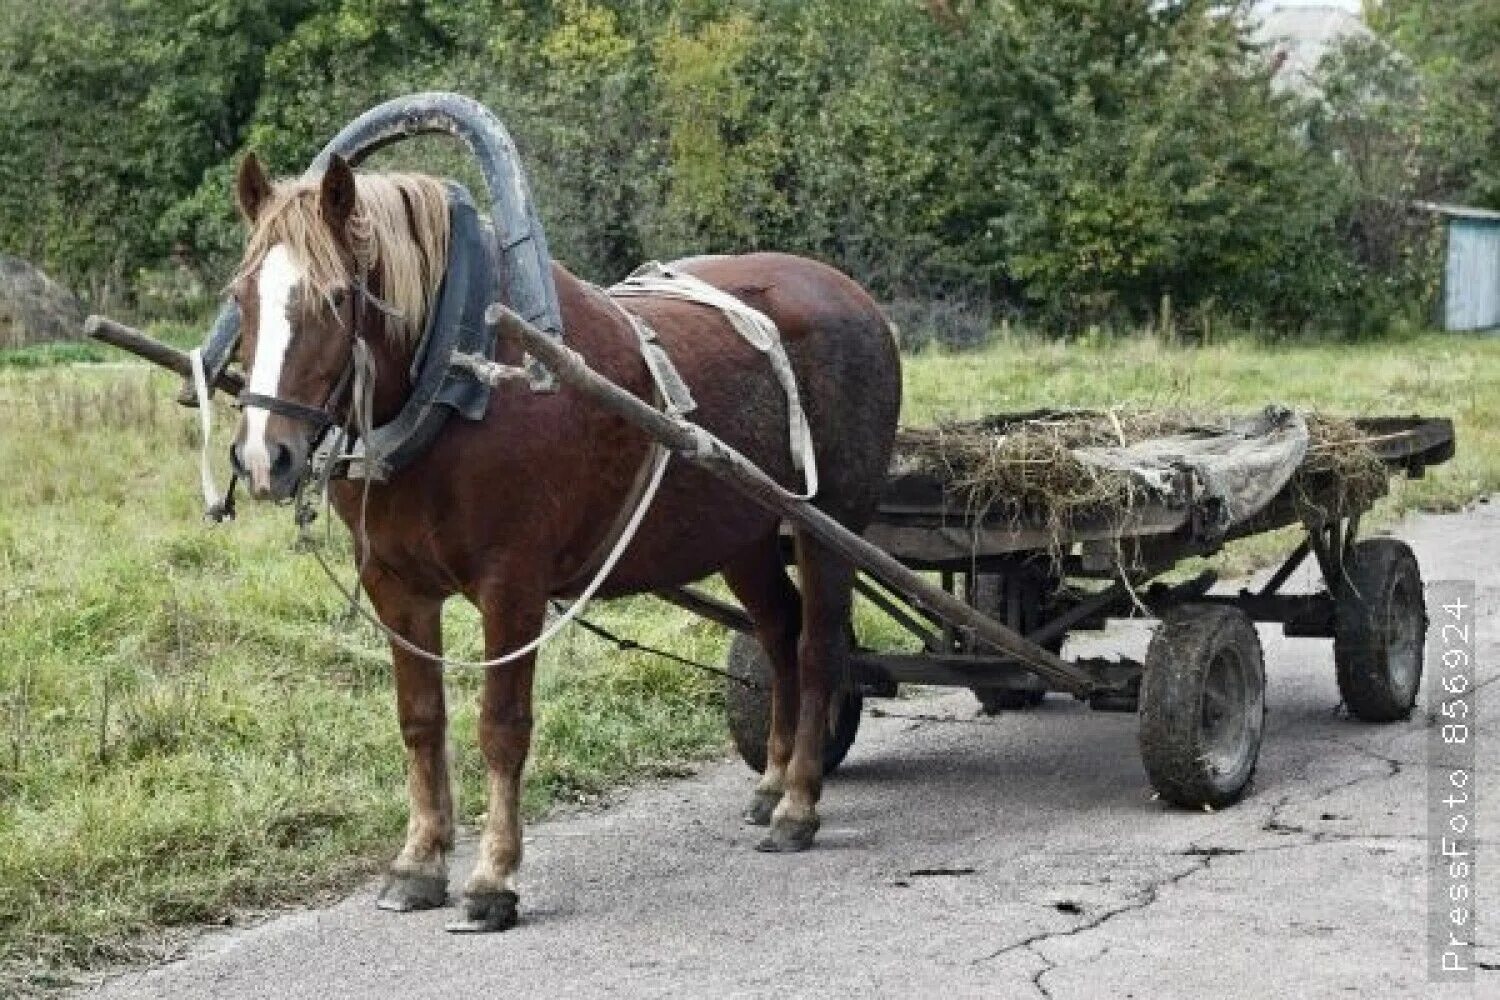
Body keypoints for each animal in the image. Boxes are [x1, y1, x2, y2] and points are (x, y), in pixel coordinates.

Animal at [225, 154, 900, 929]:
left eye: (336, 297)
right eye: (241, 296)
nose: (263, 457)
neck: (462, 378)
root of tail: (854, 297)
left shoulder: (511, 585)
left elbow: (501, 726)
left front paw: (492, 876)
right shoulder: (395, 587)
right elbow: (420, 720)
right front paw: (419, 862)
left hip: (832, 526)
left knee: (818, 648)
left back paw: (798, 805)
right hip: (746, 532)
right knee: (780, 632)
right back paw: (772, 784)